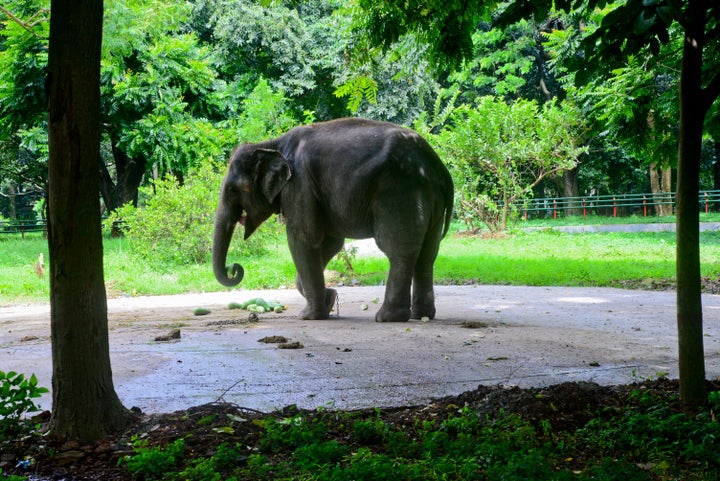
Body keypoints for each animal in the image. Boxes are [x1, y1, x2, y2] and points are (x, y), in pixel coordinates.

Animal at [211, 116, 452, 320]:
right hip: (428, 198)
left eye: (232, 190)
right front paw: (330, 299)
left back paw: (388, 318)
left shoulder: (299, 186)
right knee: (427, 254)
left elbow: (303, 240)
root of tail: (437, 165)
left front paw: (309, 316)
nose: (235, 268)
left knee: (398, 250)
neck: (271, 144)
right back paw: (421, 316)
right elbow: (330, 243)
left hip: (399, 192)